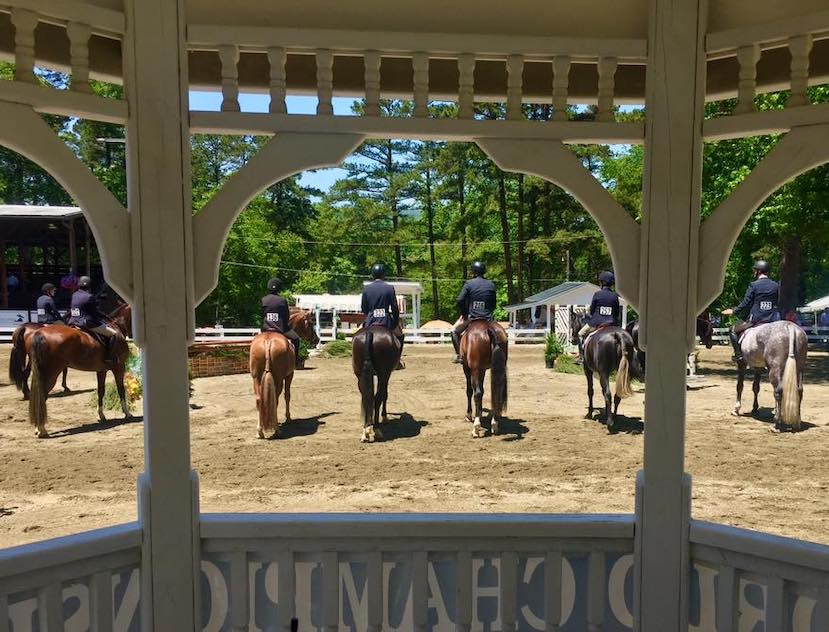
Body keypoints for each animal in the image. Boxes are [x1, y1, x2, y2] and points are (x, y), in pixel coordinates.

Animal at [25, 302, 133, 440]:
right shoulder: (119, 367)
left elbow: (101, 391)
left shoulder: (101, 370)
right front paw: (127, 413)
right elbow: (121, 389)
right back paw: (42, 429)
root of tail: (40, 333)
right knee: (42, 396)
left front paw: (101, 415)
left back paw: (38, 428)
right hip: (51, 374)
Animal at [247, 308, 318, 440]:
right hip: (279, 379)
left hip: (256, 378)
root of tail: (268, 341)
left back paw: (259, 431)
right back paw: (276, 430)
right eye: (311, 323)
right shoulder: (290, 375)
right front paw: (288, 417)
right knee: (276, 399)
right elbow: (287, 395)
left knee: (259, 400)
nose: (317, 339)